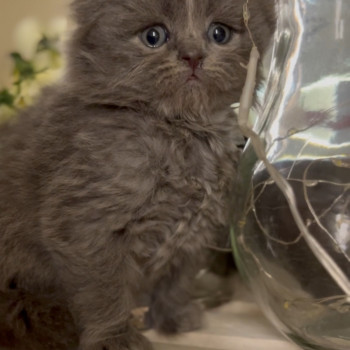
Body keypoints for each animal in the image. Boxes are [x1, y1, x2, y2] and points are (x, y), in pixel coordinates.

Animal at [0, 0, 274, 350]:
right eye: (153, 36)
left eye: (219, 33)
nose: (193, 56)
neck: (180, 130)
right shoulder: (85, 223)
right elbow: (104, 290)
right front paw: (115, 336)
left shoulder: (199, 226)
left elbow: (178, 275)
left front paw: (173, 314)